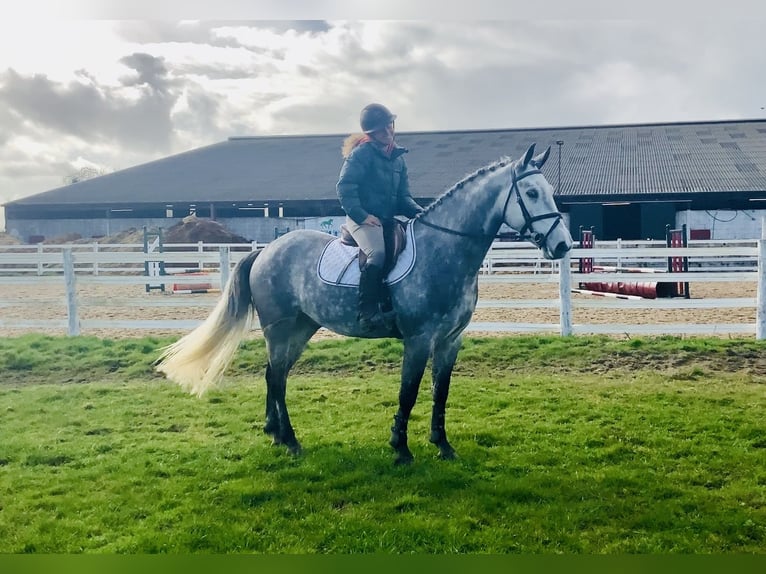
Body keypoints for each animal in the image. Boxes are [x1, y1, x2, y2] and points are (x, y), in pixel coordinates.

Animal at [156, 143, 573, 464]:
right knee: (276, 376)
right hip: (280, 328)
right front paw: (401, 449)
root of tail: (266, 250)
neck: (445, 249)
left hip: (301, 328)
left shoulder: (450, 340)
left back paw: (274, 432)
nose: (563, 245)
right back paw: (291, 441)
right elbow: (409, 392)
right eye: (531, 193)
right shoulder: (419, 340)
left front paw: (443, 446)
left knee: (276, 375)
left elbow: (440, 392)